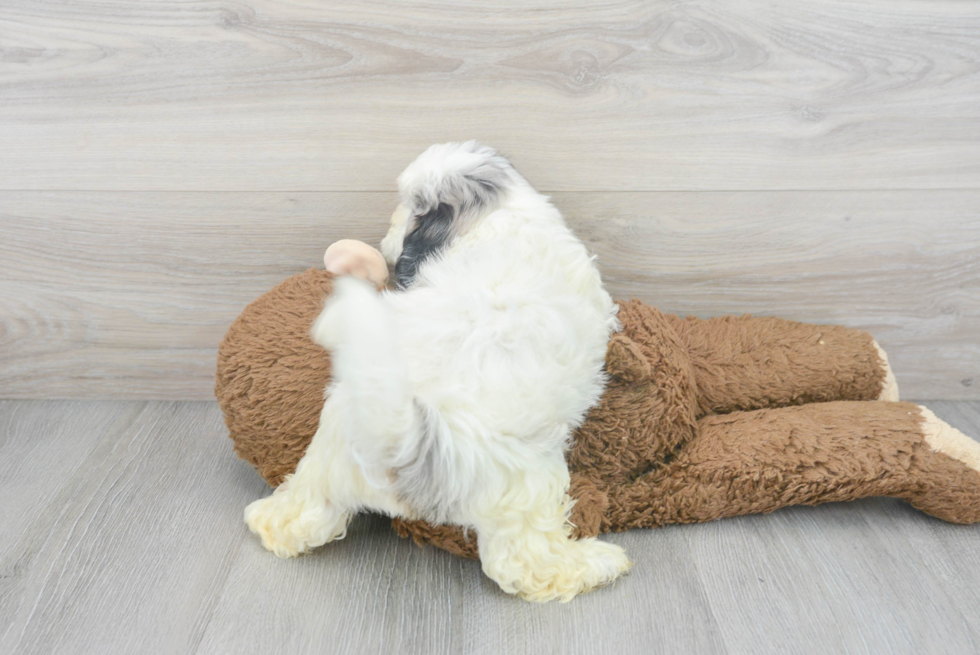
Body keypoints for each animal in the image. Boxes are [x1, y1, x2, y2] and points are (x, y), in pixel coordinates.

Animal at [241, 141, 632, 604]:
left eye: (407, 208)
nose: (387, 232)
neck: (497, 216)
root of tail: (404, 442)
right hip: (526, 482)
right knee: (526, 565)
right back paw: (597, 564)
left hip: (326, 459)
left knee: (303, 514)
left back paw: (269, 519)